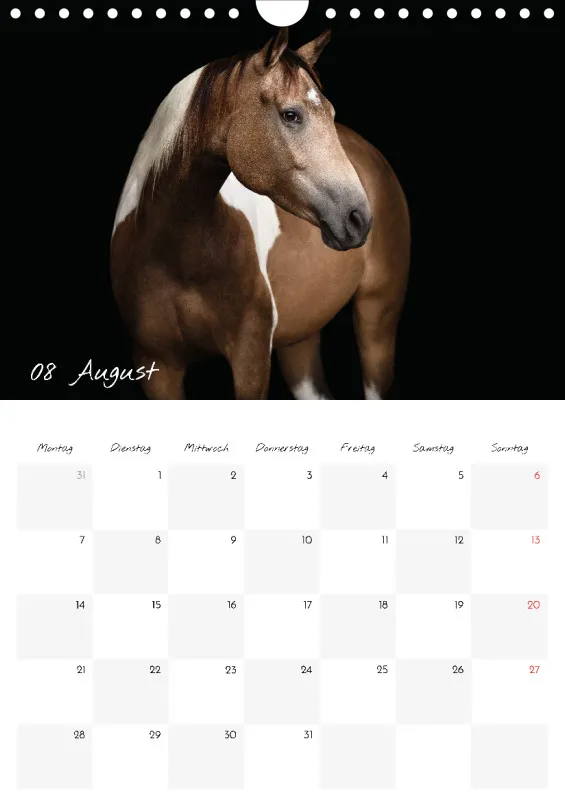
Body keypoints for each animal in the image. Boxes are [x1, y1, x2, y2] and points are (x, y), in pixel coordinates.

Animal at [110, 28, 410, 400]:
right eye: (290, 114)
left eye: (330, 112)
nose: (359, 218)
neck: (175, 256)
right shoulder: (156, 366)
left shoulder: (250, 358)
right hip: (300, 341)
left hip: (378, 315)